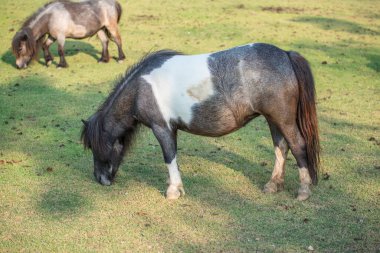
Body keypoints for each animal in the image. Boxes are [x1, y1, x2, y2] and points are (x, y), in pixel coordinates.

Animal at [81, 44, 320, 202]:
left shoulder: (162, 128)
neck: (140, 88)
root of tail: (286, 55)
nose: (100, 179)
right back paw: (273, 185)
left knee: (298, 146)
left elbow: (169, 157)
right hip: (273, 120)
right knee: (281, 148)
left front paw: (173, 191)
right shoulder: (171, 129)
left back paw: (303, 190)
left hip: (283, 119)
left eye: (94, 147)